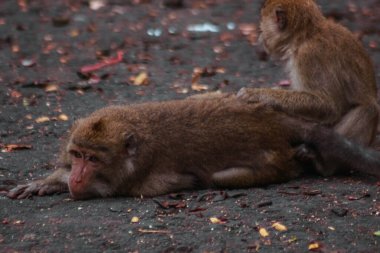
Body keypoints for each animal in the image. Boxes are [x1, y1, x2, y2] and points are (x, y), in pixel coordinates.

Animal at [5, 97, 380, 200]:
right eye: (77, 155)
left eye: (94, 159)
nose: (78, 176)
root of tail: (270, 116)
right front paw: (50, 182)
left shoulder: (144, 180)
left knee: (224, 177)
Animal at [238, 0, 378, 146]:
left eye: (262, 27)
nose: (261, 37)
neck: (305, 36)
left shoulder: (309, 56)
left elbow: (328, 105)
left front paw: (257, 94)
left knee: (368, 110)